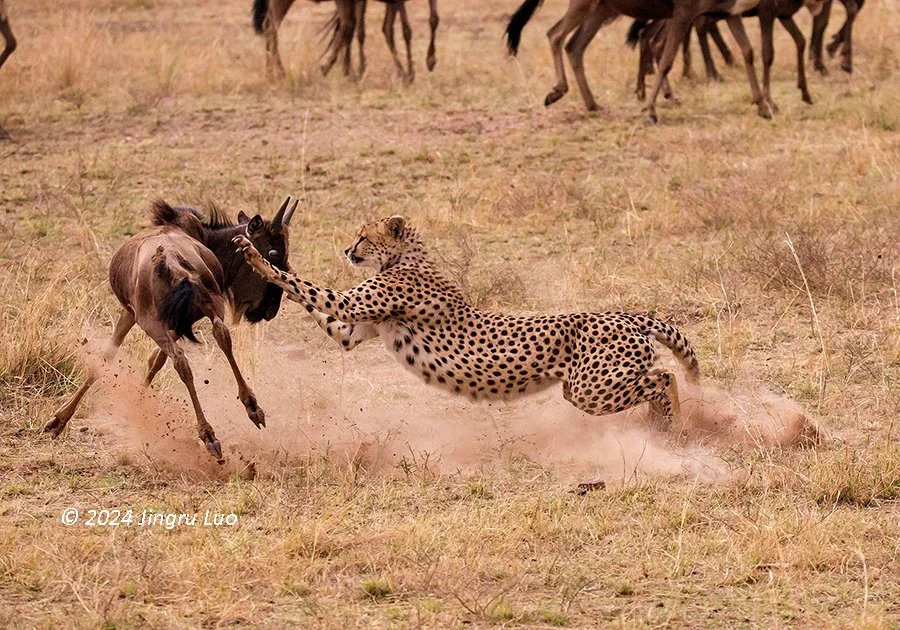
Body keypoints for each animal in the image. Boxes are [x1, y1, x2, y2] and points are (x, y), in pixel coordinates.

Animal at [45, 197, 297, 463]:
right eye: (273, 253)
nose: (270, 310)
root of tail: (172, 260)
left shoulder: (134, 314)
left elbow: (109, 357)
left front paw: (59, 420)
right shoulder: (176, 321)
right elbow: (153, 360)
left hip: (150, 321)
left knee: (181, 361)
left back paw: (209, 435)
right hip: (209, 305)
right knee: (221, 336)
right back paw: (252, 407)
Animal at [233, 216, 700, 431]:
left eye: (364, 236)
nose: (348, 250)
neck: (407, 257)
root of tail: (626, 313)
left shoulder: (351, 304)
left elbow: (307, 287)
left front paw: (257, 258)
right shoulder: (351, 332)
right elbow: (310, 298)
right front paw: (268, 257)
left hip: (591, 389)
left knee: (666, 377)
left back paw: (677, 425)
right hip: (586, 387)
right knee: (658, 378)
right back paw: (663, 427)